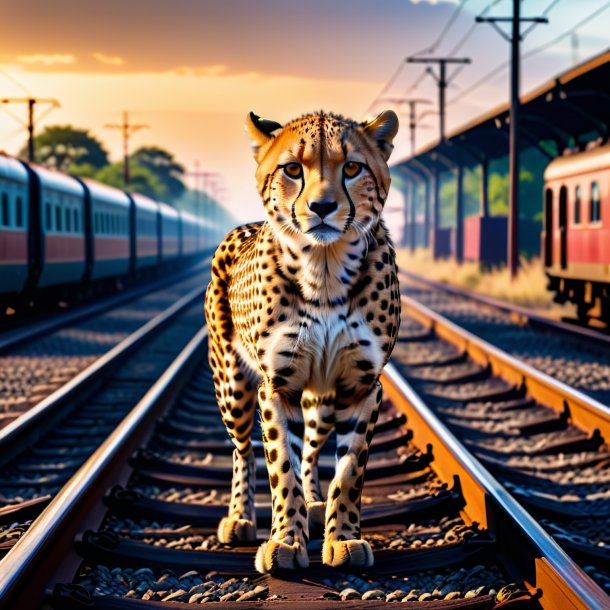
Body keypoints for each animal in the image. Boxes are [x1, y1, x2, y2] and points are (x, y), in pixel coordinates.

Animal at [205, 109, 400, 568]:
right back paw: (240, 518)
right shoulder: (277, 386)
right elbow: (281, 468)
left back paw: (314, 505)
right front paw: (286, 543)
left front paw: (343, 539)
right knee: (243, 450)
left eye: (352, 168)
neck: (326, 268)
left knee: (311, 447)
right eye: (293, 169)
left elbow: (349, 472)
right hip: (233, 387)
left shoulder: (361, 385)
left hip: (322, 396)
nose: (323, 207)